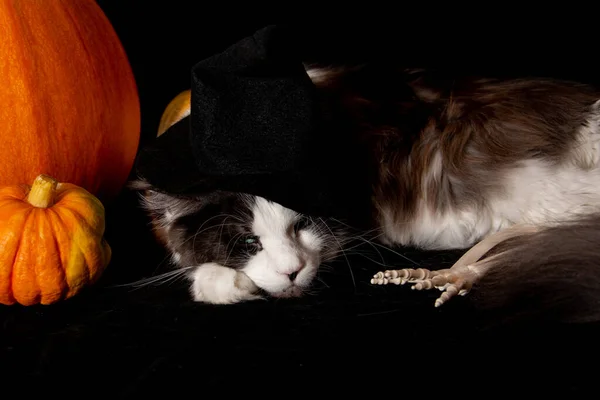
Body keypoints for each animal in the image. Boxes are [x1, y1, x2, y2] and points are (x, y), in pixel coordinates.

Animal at [132, 63, 600, 324]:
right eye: (249, 241)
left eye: (303, 224)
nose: (292, 272)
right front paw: (229, 281)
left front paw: (221, 283)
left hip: (556, 206)